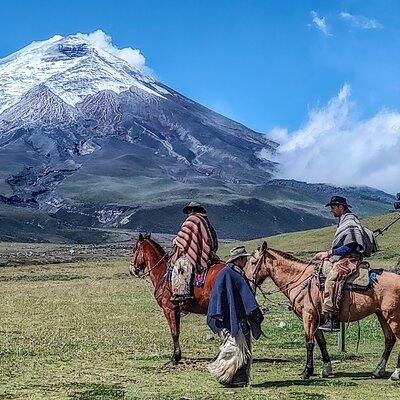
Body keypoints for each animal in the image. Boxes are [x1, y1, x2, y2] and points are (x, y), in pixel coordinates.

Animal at [130, 233, 225, 364]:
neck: (162, 273)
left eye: (135, 249)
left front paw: (174, 358)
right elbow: (178, 331)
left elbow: (174, 332)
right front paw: (177, 356)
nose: (132, 270)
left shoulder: (169, 309)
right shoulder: (177, 311)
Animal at [245, 241, 400, 382]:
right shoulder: (316, 319)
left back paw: (395, 374)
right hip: (381, 315)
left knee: (398, 339)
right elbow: (321, 342)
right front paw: (326, 369)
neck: (300, 280)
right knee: (389, 340)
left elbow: (309, 343)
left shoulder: (308, 317)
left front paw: (307, 372)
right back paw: (378, 371)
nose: (247, 283)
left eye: (253, 261)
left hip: (392, 316)